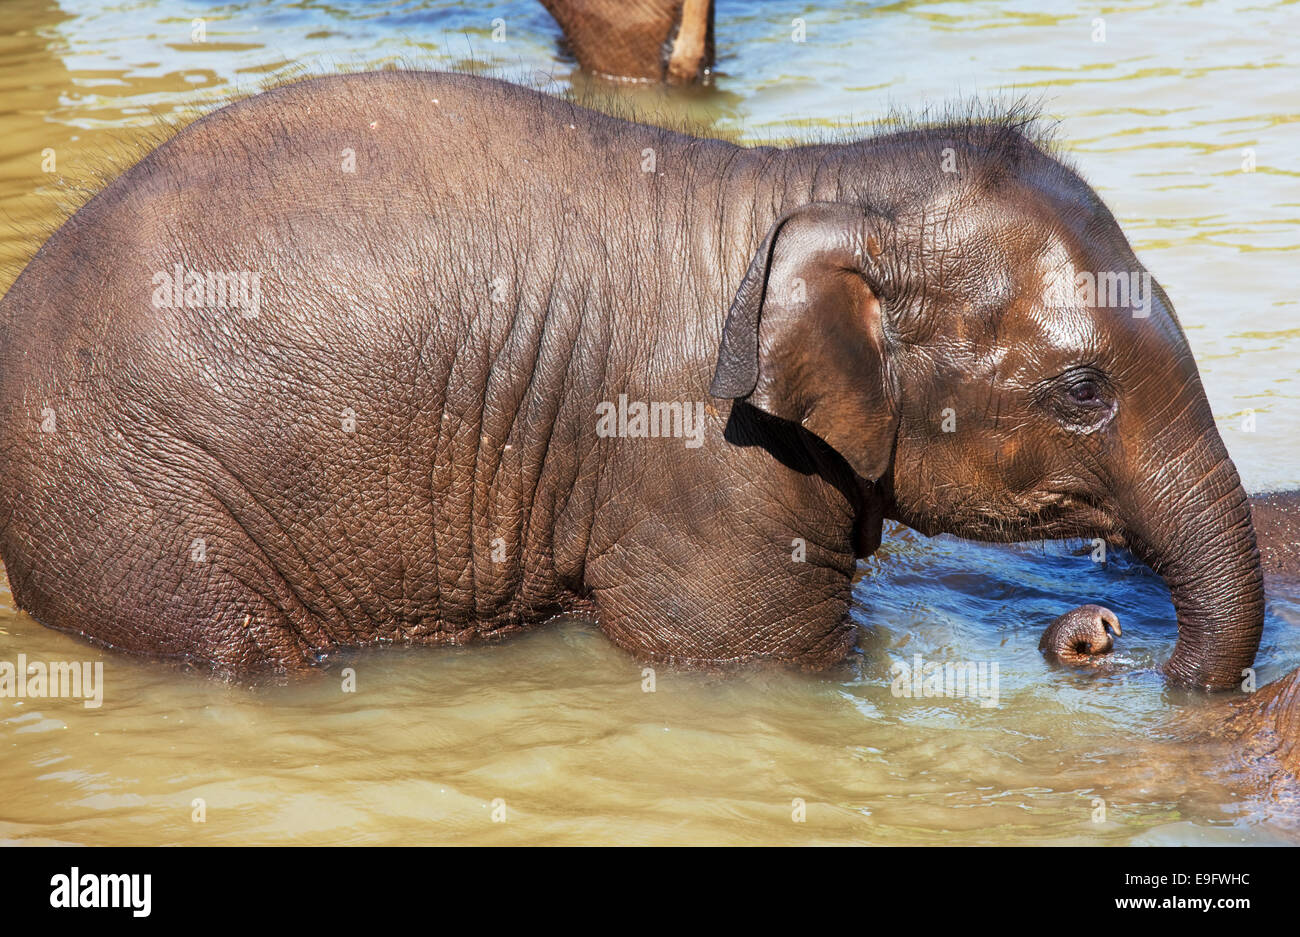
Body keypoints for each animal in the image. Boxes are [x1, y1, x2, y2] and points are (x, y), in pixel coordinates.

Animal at [0, 70, 1264, 686]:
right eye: (1081, 391)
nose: (1095, 631)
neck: (811, 182)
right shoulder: (703, 469)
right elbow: (757, 660)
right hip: (142, 512)